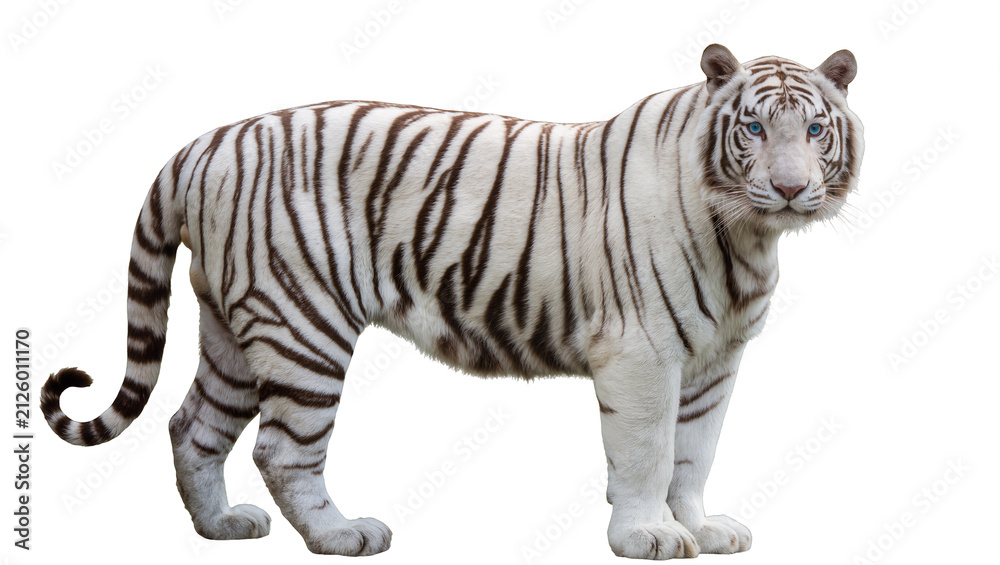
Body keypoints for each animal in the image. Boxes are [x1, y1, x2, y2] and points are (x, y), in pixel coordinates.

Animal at [41, 44, 863, 559]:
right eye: (752, 126)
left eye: (814, 128)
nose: (791, 188)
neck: (748, 236)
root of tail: (202, 144)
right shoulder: (642, 354)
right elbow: (647, 454)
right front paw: (647, 537)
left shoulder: (714, 361)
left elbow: (694, 453)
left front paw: (701, 529)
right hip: (302, 323)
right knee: (281, 447)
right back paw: (341, 536)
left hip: (233, 329)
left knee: (192, 425)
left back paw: (221, 527)